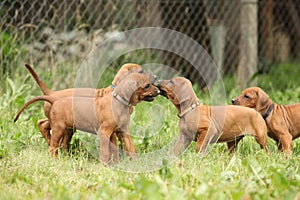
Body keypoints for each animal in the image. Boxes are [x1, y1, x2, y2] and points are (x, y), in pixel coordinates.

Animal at [14, 73, 159, 164]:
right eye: (147, 85)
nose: (158, 91)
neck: (119, 101)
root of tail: (54, 98)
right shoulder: (104, 132)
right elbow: (105, 152)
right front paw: (104, 166)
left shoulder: (121, 133)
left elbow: (128, 150)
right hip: (59, 128)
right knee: (52, 147)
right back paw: (54, 161)